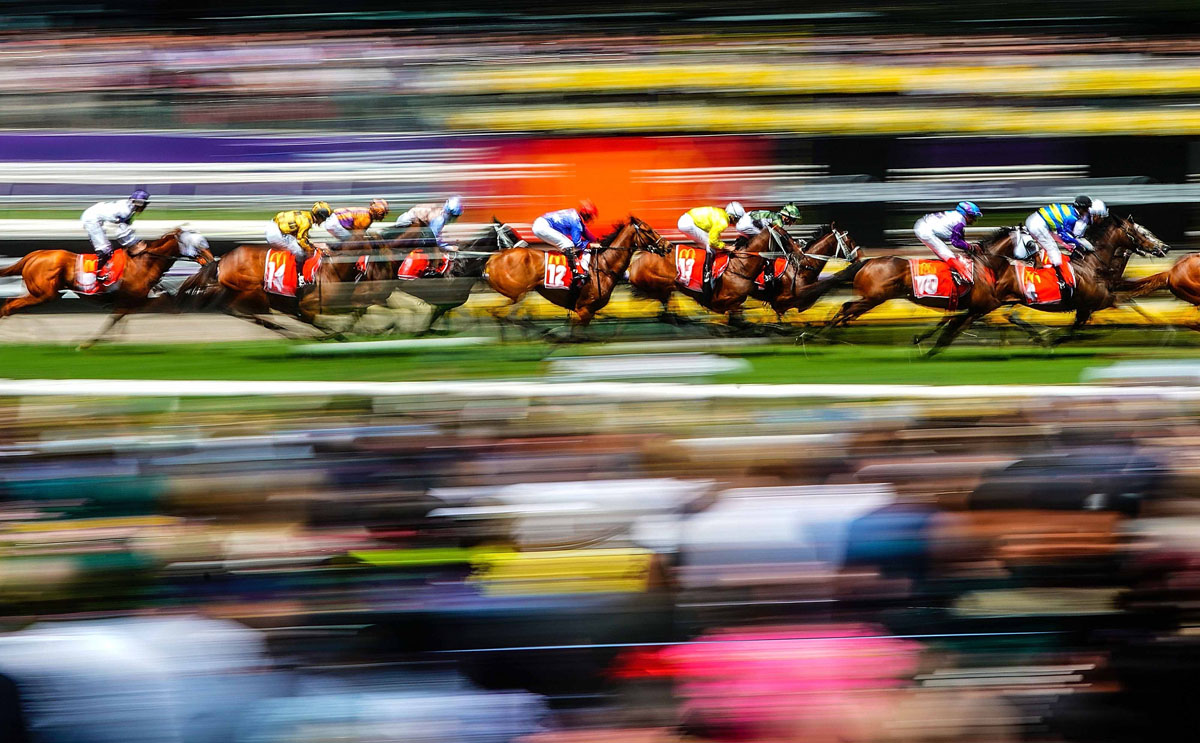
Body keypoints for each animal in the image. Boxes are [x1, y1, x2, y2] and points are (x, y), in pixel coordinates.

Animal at [0, 228, 213, 348]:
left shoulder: (136, 300)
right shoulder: (131, 300)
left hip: (42, 293)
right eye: (197, 244)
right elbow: (115, 319)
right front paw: (88, 343)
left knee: (9, 305)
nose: (211, 261)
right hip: (44, 294)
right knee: (9, 306)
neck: (144, 263)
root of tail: (34, 255)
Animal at [487, 214, 676, 336]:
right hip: (518, 293)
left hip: (517, 294)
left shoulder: (588, 312)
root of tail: (493, 259)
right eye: (648, 230)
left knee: (498, 313)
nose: (668, 246)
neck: (604, 264)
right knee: (508, 316)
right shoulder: (584, 310)